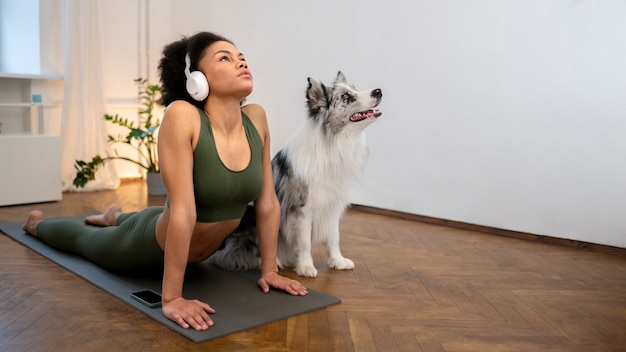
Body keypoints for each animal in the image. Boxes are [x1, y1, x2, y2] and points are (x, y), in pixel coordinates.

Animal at [207, 71, 380, 278]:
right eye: (346, 97)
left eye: (355, 88)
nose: (378, 91)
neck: (333, 142)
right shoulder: (301, 208)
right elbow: (304, 241)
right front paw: (306, 267)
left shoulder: (332, 205)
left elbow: (334, 238)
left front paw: (337, 261)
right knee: (235, 253)